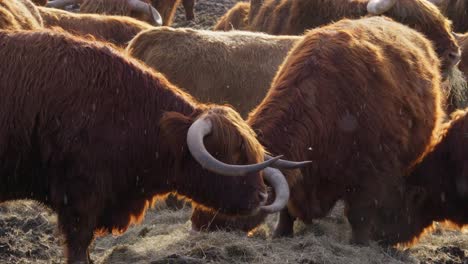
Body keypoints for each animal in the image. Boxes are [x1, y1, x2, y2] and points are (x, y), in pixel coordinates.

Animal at [193, 15, 446, 244]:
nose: (200, 223)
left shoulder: (371, 173)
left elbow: (359, 214)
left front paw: (359, 244)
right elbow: (288, 205)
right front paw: (281, 233)